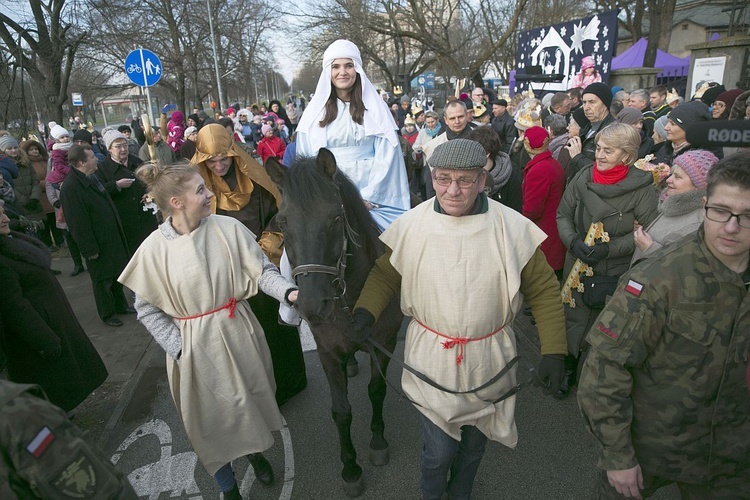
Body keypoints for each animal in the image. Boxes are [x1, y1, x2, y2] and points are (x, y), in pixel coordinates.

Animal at [268, 150, 402, 498]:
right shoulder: (328, 352)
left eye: (336, 218)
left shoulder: (384, 343)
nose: (313, 305)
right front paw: (351, 469)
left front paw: (378, 443)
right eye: (282, 223)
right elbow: (341, 412)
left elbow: (377, 390)